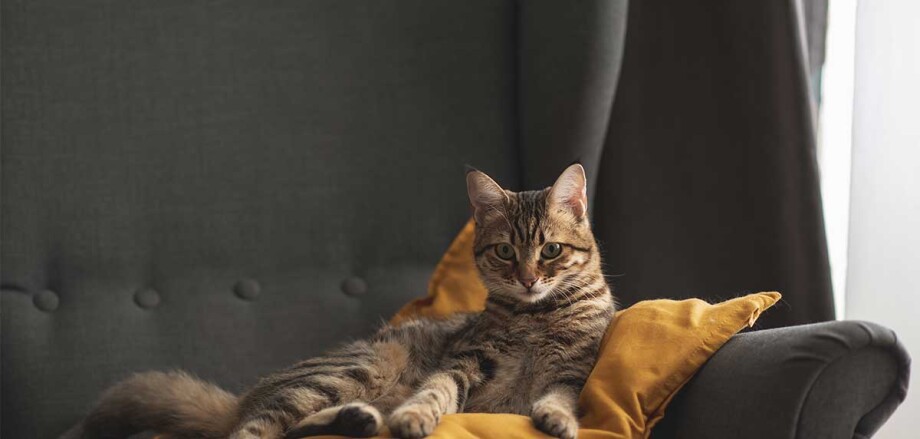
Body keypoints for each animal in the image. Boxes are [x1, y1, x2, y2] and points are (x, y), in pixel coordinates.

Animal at [72, 164, 616, 439]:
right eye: (505, 251)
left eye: (550, 250)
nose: (528, 279)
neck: (536, 318)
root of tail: (242, 396)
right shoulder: (463, 362)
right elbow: (436, 392)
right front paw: (415, 418)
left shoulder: (573, 371)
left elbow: (559, 397)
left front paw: (558, 419)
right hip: (357, 367)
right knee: (256, 428)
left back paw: (357, 421)